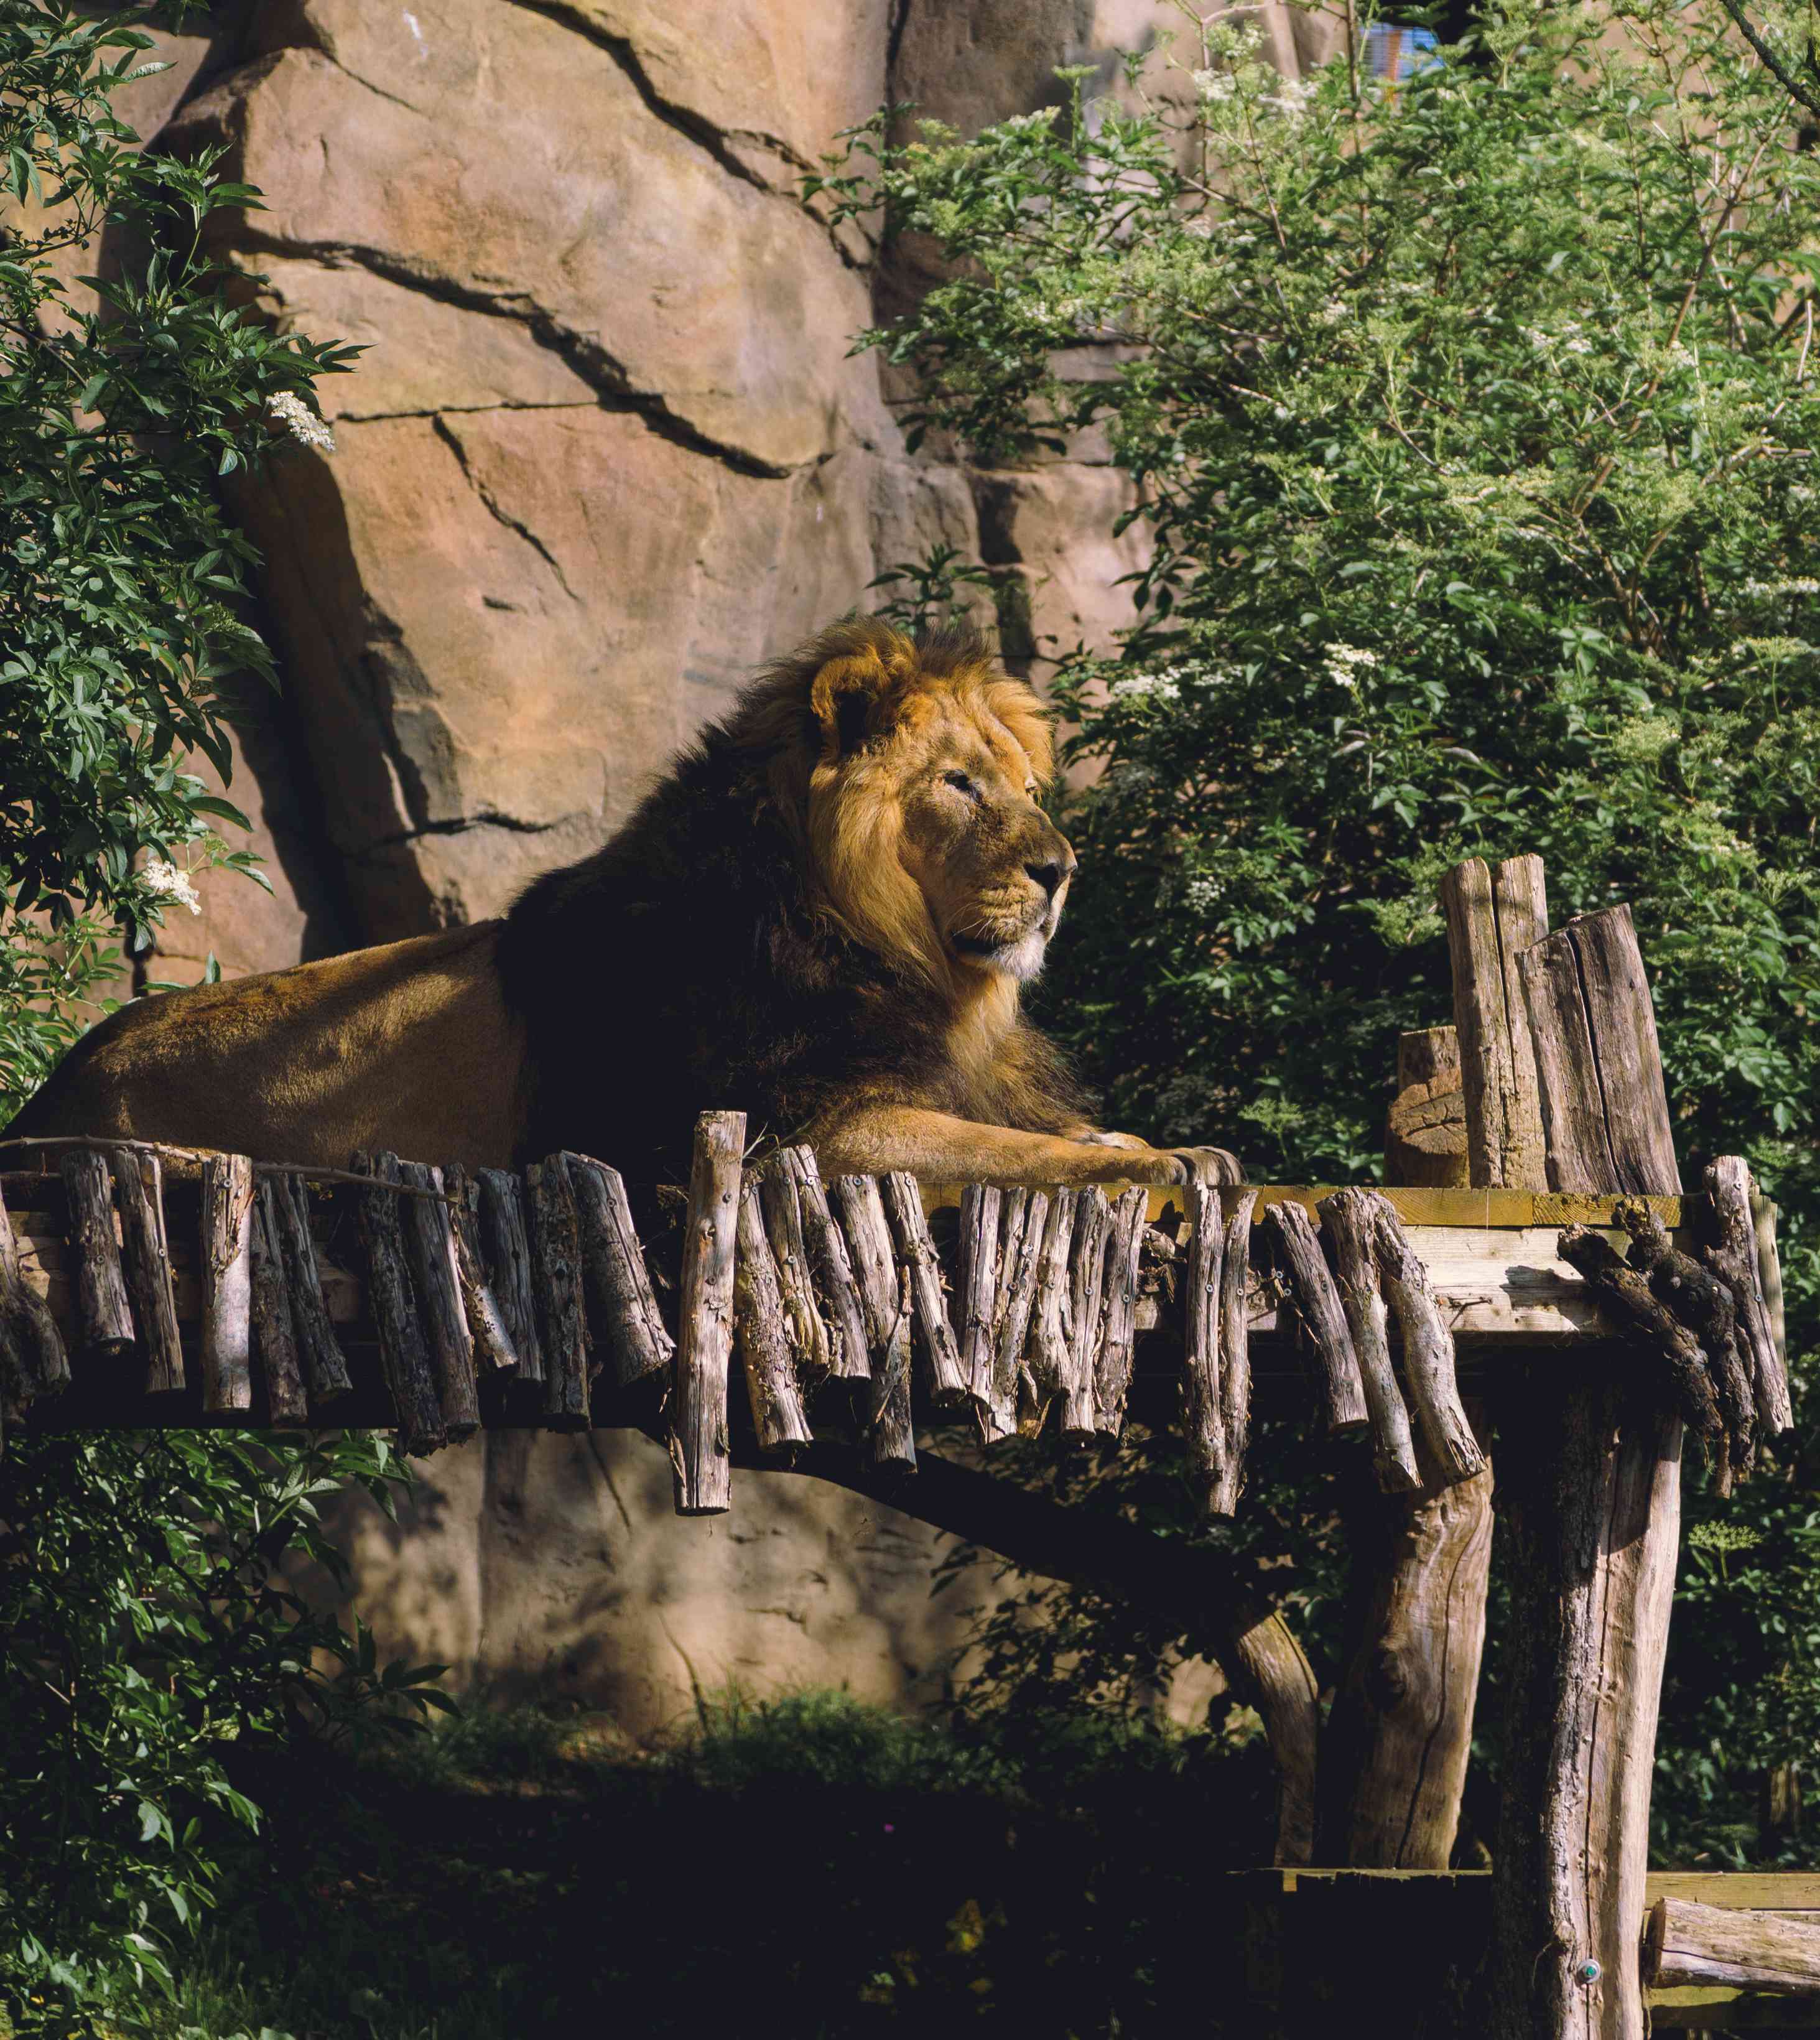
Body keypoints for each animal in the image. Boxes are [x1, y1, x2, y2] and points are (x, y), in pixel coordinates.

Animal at [13, 619, 1237, 1190]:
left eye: (1026, 785)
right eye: (960, 785)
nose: (1061, 868)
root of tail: (45, 1097)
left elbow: (1036, 1128)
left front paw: (1160, 1139)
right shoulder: (799, 1131)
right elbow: (1006, 1150)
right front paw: (1155, 1162)